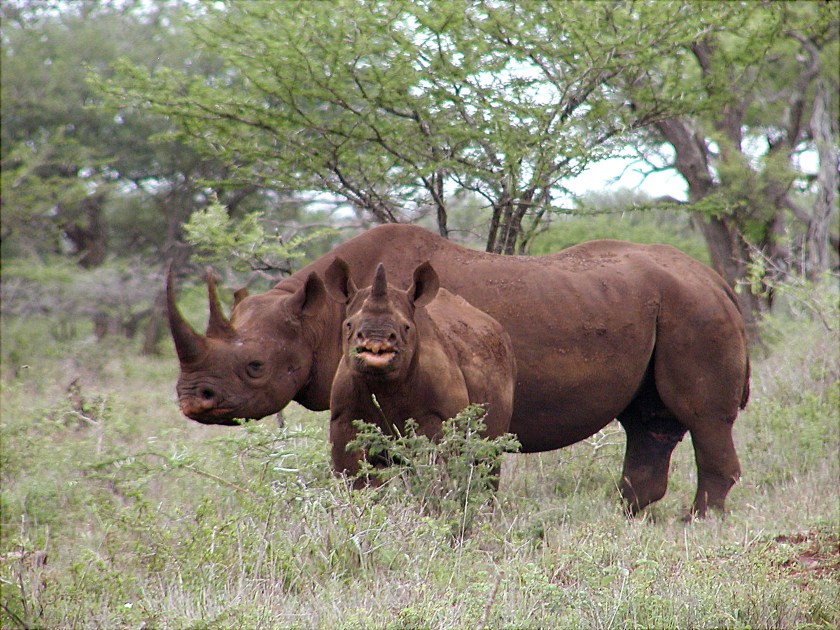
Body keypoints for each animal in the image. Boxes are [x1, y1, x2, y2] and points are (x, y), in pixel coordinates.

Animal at [323, 259, 516, 482]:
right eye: (348, 325)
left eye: (406, 327)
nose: (375, 339)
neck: (384, 385)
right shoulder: (343, 417)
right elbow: (355, 475)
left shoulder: (437, 416)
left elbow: (433, 469)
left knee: (487, 458)